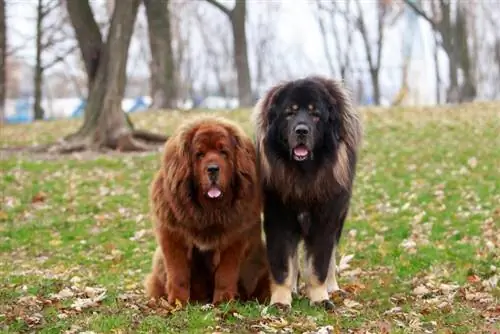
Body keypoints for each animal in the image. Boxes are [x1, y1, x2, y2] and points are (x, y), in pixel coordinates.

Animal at [144, 115, 270, 306]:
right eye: (200, 154)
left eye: (223, 152)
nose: (212, 169)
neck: (209, 212)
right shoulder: (173, 236)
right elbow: (178, 273)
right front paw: (178, 302)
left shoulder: (235, 238)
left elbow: (225, 274)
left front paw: (224, 301)